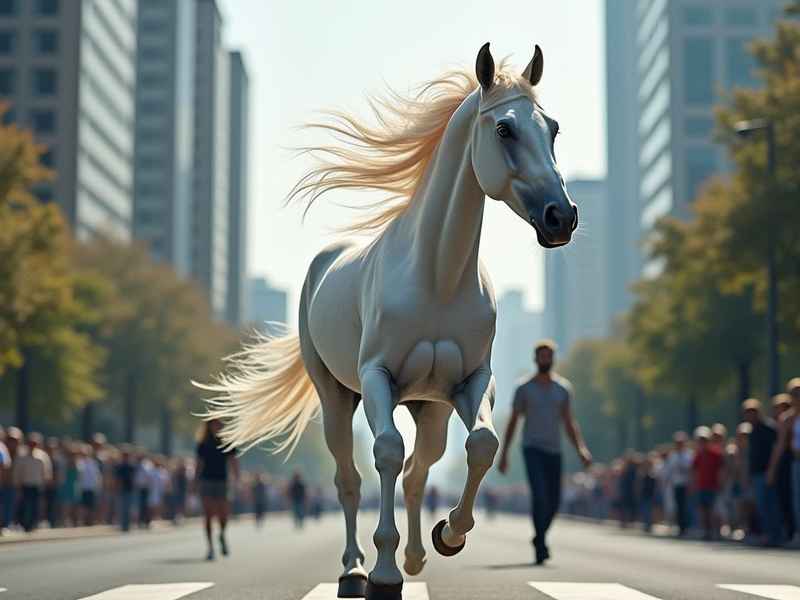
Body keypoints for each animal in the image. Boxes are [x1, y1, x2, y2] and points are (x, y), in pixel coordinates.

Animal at [200, 43, 577, 600]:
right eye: (505, 129)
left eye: (552, 128)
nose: (561, 217)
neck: (437, 278)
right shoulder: (378, 378)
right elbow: (386, 453)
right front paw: (383, 572)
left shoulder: (471, 383)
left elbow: (480, 447)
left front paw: (448, 535)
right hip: (335, 396)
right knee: (349, 478)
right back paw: (354, 569)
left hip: (429, 408)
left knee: (421, 471)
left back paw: (419, 555)